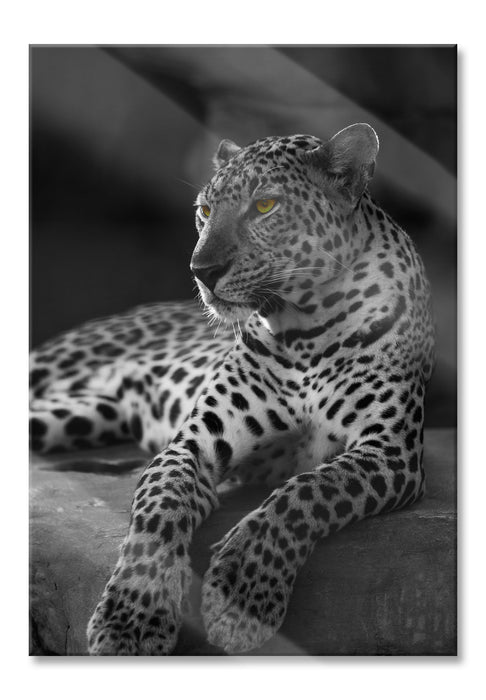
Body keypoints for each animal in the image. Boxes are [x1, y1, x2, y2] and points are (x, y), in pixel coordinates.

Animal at [29, 123, 435, 655]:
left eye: (264, 206)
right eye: (204, 210)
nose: (201, 271)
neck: (305, 328)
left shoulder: (390, 451)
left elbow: (306, 491)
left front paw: (244, 590)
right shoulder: (191, 445)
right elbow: (157, 515)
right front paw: (130, 619)